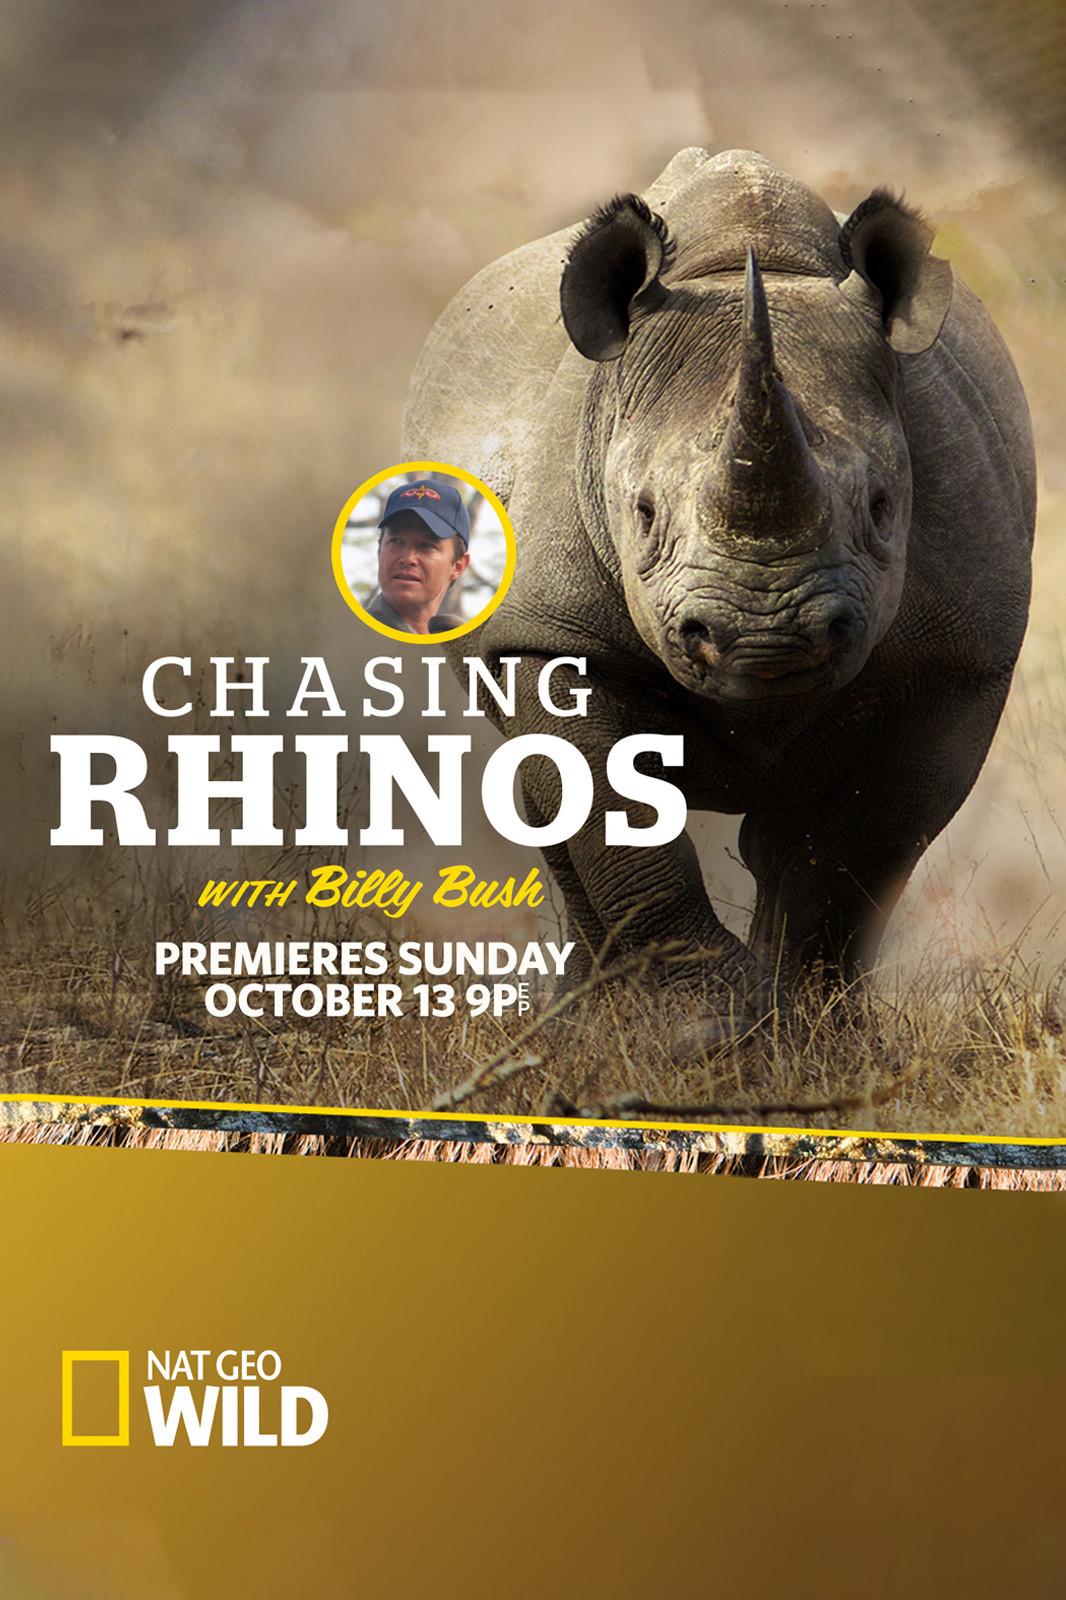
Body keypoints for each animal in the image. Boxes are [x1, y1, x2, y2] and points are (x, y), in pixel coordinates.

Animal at [403, 148, 1035, 1036]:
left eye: (882, 507)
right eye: (642, 513)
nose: (767, 640)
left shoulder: (961, 656)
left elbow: (861, 845)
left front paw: (810, 1031)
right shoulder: (552, 633)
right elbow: (609, 814)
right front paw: (703, 1032)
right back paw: (582, 1026)